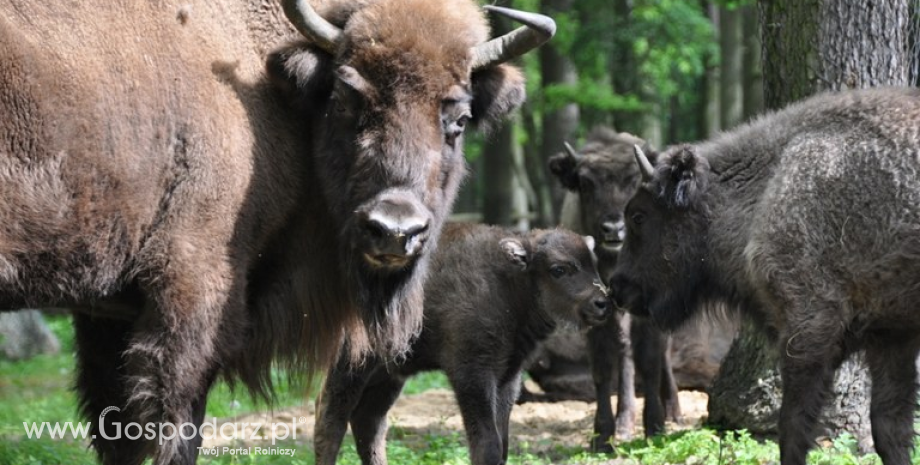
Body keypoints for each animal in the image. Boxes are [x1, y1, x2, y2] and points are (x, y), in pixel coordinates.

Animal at [0, 0, 552, 462]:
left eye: (458, 119)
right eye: (347, 99)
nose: (394, 230)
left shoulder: (108, 313)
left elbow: (118, 432)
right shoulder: (191, 297)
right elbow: (175, 427)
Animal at [316, 221, 612, 464]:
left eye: (593, 263)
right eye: (558, 269)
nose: (602, 303)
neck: (510, 282)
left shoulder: (508, 376)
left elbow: (503, 442)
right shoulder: (472, 373)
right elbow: (488, 444)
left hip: (389, 375)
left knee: (369, 424)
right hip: (352, 367)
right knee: (330, 423)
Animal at [612, 88, 920, 464]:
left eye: (638, 216)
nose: (617, 287)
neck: (768, 188)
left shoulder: (808, 328)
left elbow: (792, 427)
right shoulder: (892, 336)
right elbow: (889, 428)